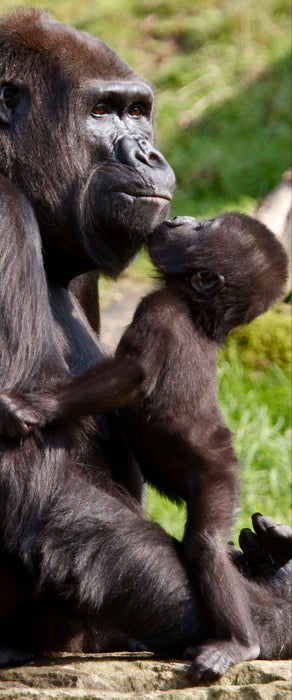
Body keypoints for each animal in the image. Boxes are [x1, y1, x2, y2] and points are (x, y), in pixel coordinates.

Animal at [114, 212, 288, 680]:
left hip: (220, 473)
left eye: (202, 228)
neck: (200, 311)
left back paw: (241, 644)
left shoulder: (159, 309)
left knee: (205, 544)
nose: (179, 218)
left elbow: (129, 377)